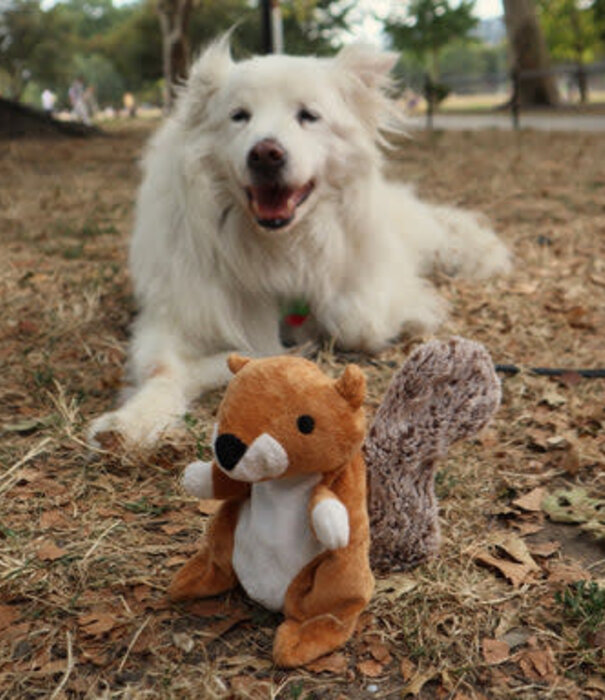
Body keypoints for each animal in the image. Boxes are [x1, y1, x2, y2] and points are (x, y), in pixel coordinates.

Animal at [88, 39, 510, 448]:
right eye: (239, 116)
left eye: (308, 116)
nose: (265, 154)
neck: (278, 244)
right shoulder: (175, 316)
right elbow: (163, 371)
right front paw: (132, 421)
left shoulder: (374, 294)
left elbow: (357, 321)